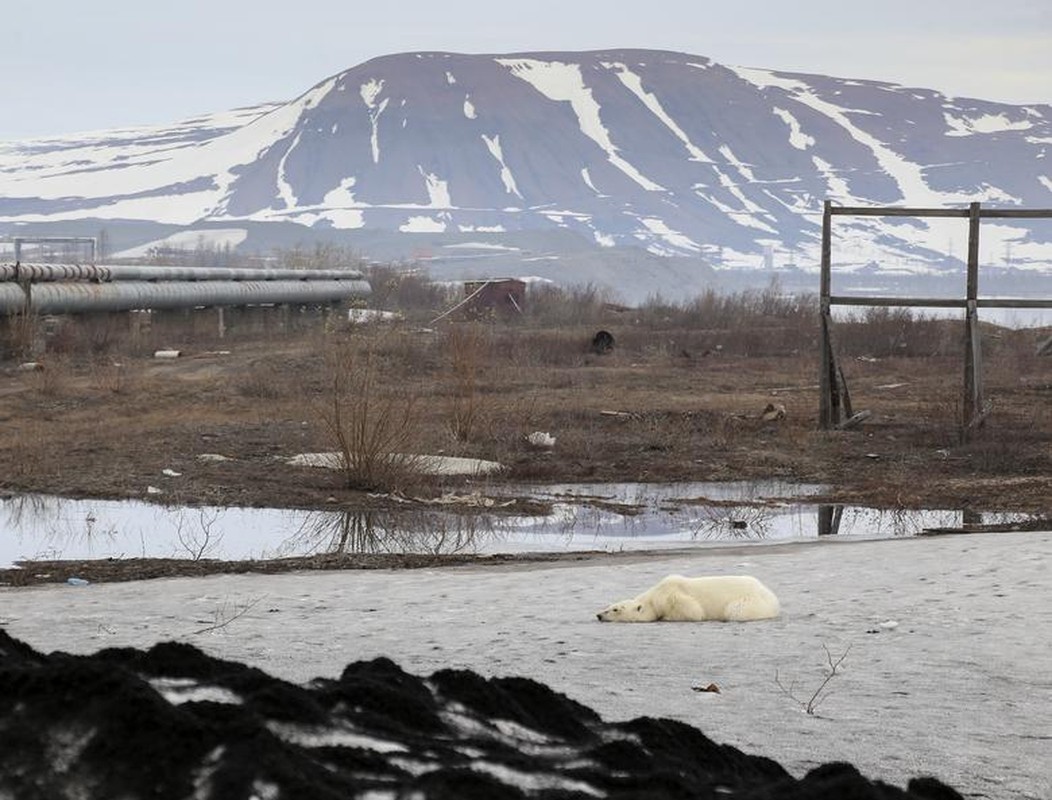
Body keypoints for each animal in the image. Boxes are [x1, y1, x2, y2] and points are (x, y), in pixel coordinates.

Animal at [597, 576, 778, 623]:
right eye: (610, 605)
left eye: (615, 609)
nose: (599, 615)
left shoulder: (673, 597)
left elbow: (694, 611)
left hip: (750, 602)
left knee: (735, 611)